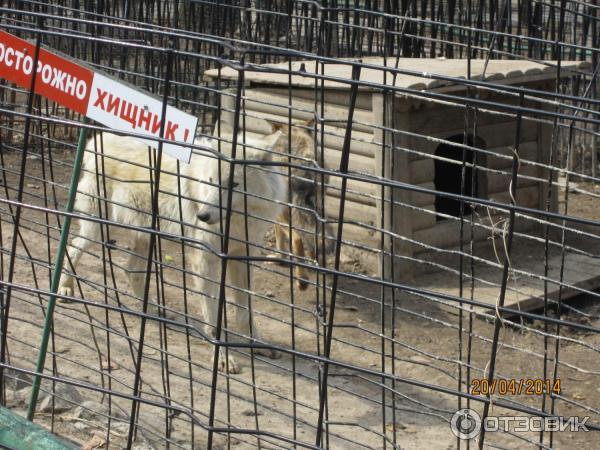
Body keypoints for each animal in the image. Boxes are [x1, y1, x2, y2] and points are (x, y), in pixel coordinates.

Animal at [59, 126, 286, 372]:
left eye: (233, 184)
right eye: (210, 181)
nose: (202, 216)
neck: (237, 222)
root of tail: (98, 139)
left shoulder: (241, 257)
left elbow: (245, 312)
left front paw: (257, 344)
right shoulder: (204, 260)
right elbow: (213, 317)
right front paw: (223, 357)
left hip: (145, 238)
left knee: (130, 270)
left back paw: (152, 310)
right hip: (99, 229)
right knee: (72, 248)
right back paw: (64, 289)